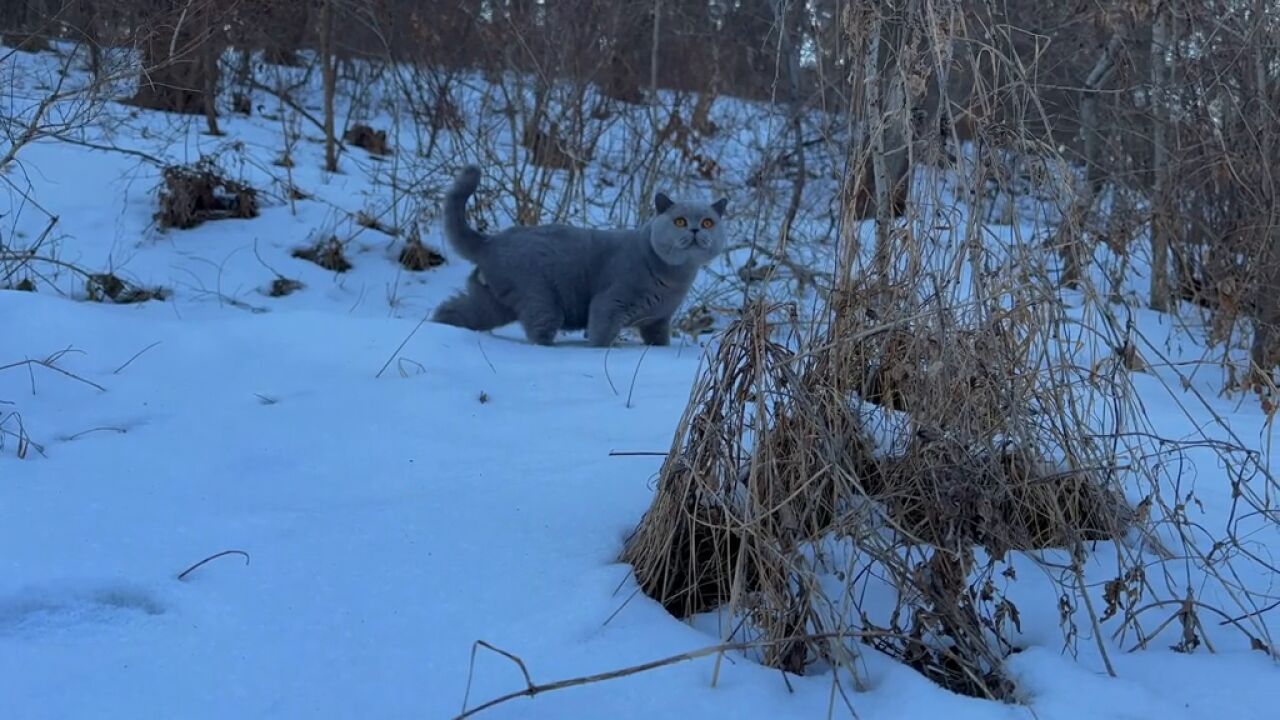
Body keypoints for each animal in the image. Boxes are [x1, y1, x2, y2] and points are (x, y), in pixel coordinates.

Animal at [432, 165, 727, 345]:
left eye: (708, 222)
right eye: (679, 221)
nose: (695, 229)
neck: (675, 277)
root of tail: (491, 241)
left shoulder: (658, 322)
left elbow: (659, 342)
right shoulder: (609, 305)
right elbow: (600, 338)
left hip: (492, 301)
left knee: (453, 310)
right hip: (540, 298)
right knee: (538, 331)